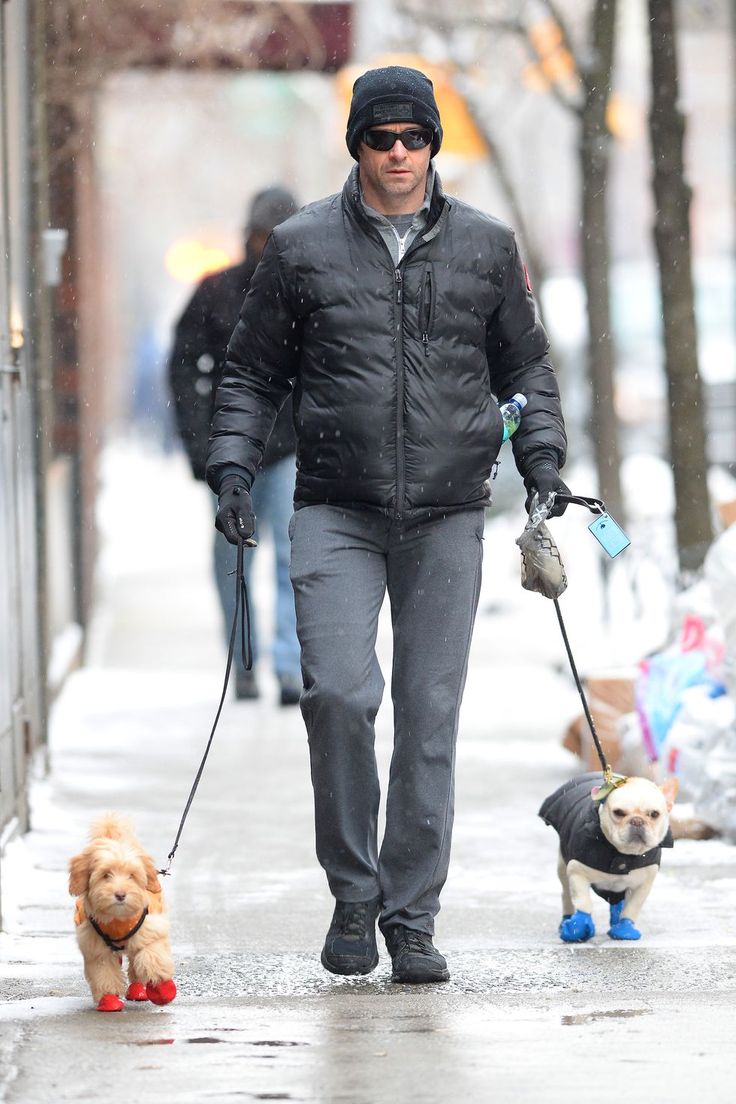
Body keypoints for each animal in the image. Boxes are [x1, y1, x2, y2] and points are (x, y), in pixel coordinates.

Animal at [69, 816, 178, 1011]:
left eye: (132, 876)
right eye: (105, 875)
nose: (120, 894)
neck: (118, 920)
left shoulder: (150, 931)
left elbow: (151, 958)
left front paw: (162, 989)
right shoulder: (95, 947)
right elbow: (103, 973)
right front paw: (109, 1000)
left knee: (136, 962)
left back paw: (138, 991)